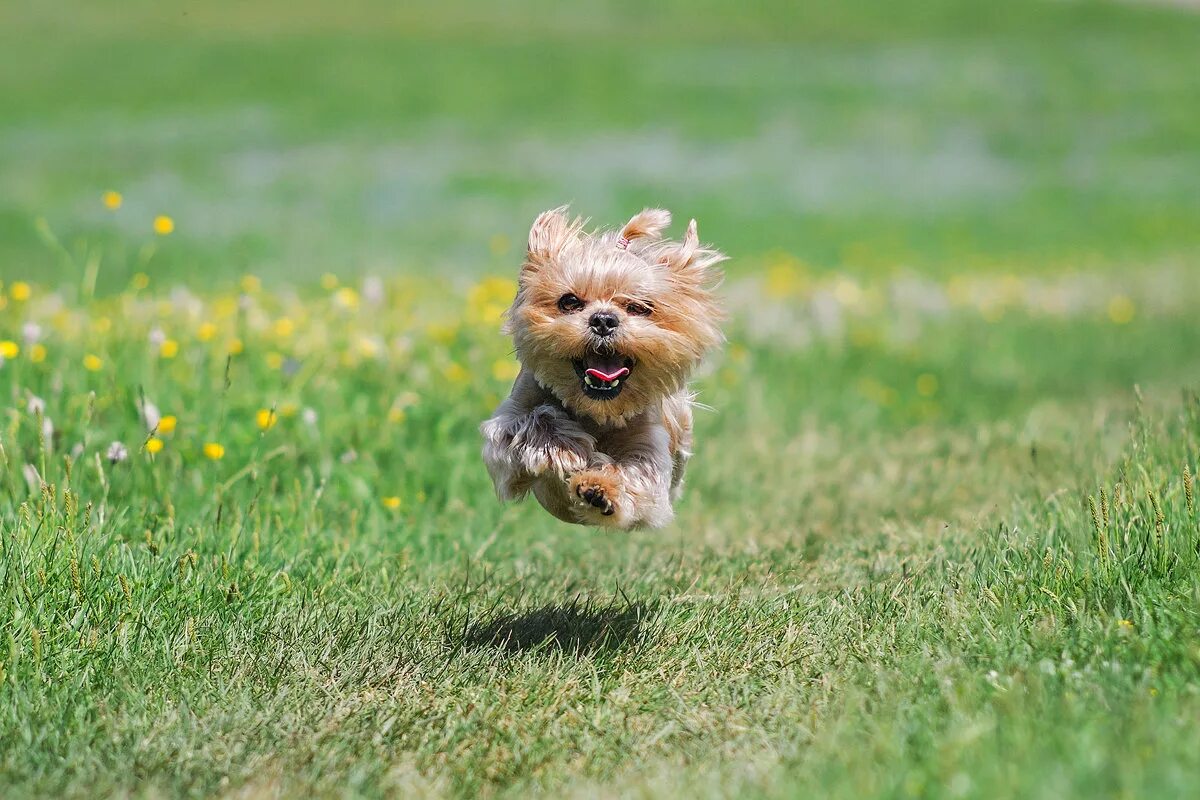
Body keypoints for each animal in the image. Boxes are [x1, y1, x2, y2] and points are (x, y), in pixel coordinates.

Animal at [477, 209, 720, 527]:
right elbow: (531, 419)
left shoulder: (651, 448)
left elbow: (643, 478)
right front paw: (562, 447)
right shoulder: (508, 429)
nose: (603, 319)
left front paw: (599, 487)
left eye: (638, 307)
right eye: (569, 301)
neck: (598, 411)